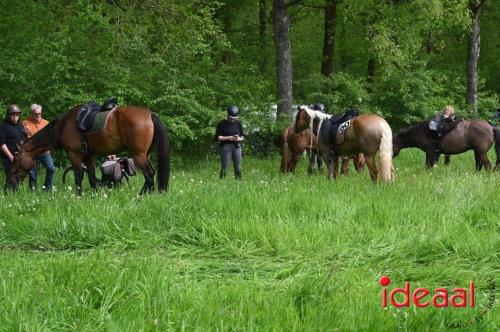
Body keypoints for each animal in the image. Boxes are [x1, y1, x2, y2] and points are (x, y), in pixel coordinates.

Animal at [8, 105, 170, 195]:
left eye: (16, 159)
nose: (11, 181)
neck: (61, 128)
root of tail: (149, 114)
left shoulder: (74, 156)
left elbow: (78, 177)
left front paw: (79, 196)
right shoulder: (90, 157)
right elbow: (91, 177)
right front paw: (95, 195)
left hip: (139, 155)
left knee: (149, 174)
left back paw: (142, 196)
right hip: (145, 154)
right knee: (150, 174)